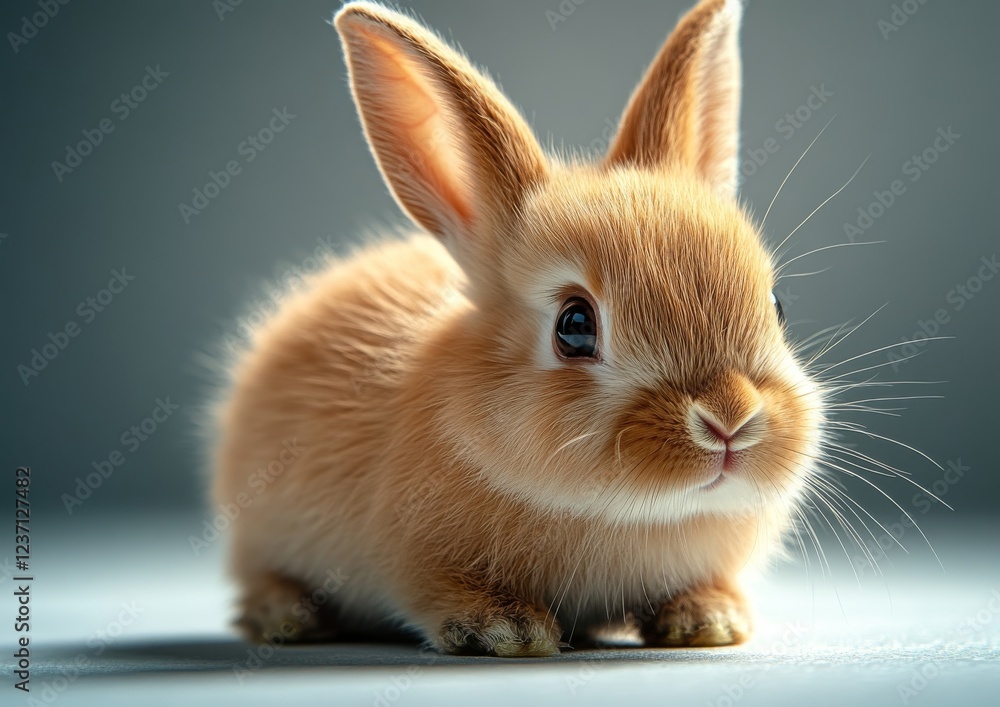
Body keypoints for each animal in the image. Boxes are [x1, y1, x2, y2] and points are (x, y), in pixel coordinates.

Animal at [211, 0, 823, 657]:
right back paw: (285, 618)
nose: (729, 419)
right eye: (574, 326)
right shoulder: (411, 556)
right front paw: (507, 629)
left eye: (777, 305)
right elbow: (434, 590)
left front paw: (708, 622)